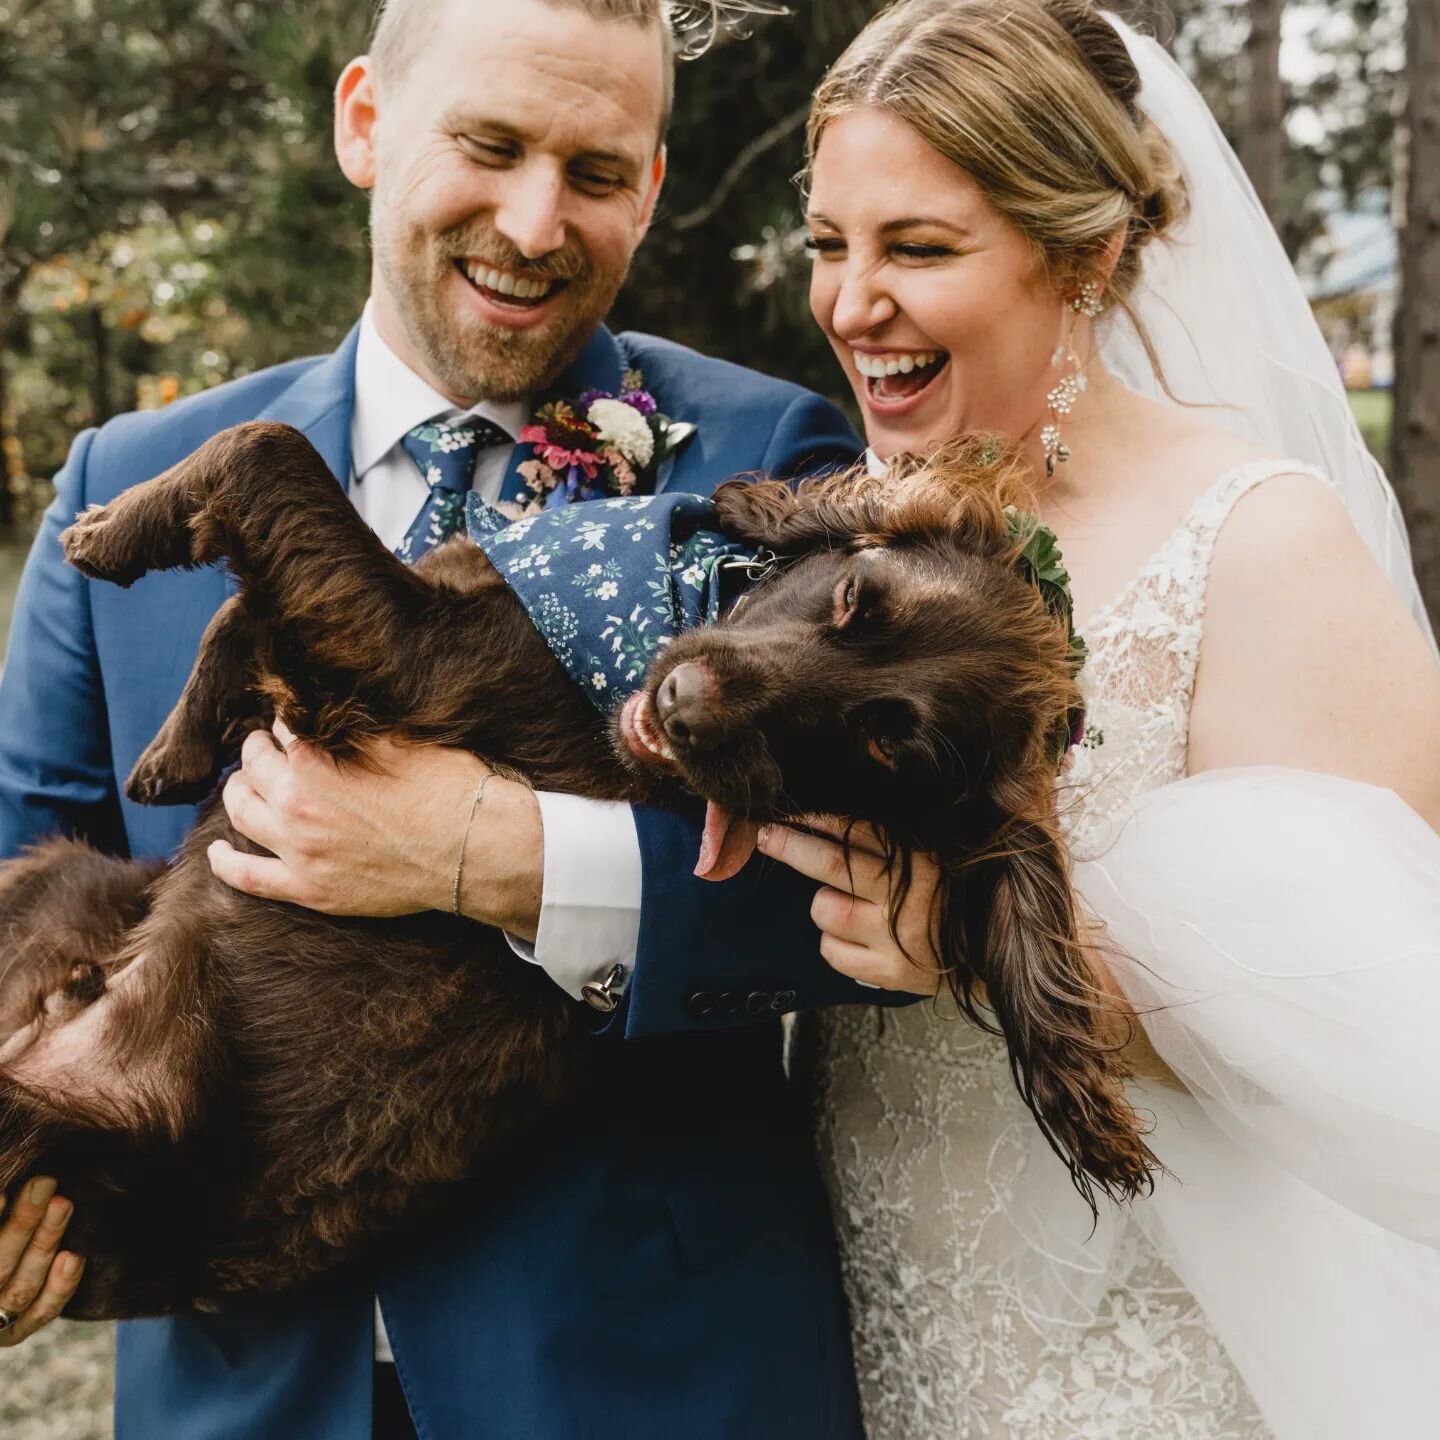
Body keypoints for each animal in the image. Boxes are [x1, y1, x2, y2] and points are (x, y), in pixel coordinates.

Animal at [0, 423, 1146, 1319]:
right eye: (856, 597)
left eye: (890, 748)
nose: (682, 708)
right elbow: (239, 606)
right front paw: (178, 743)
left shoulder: (410, 648)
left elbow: (262, 450)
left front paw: (104, 531)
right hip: (54, 879)